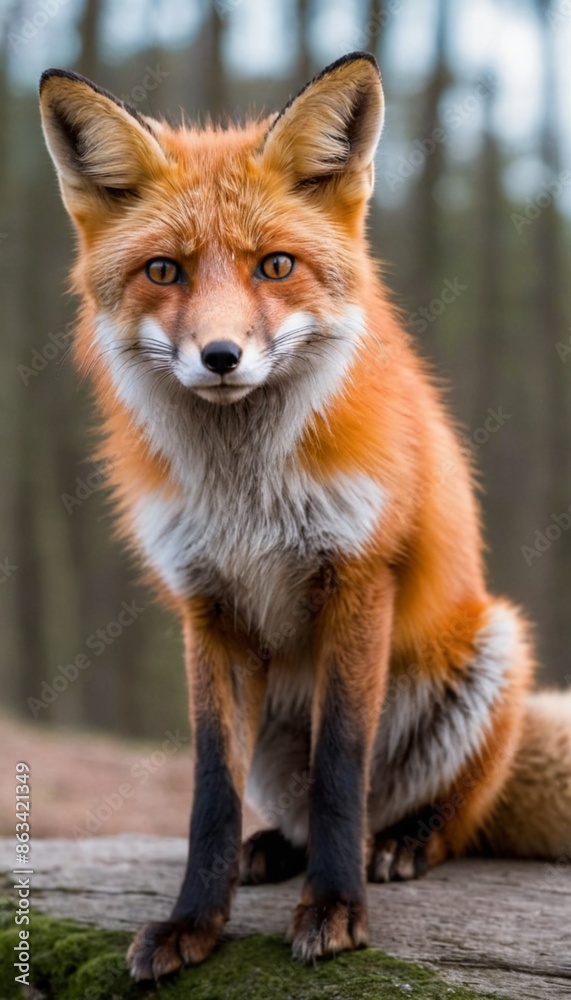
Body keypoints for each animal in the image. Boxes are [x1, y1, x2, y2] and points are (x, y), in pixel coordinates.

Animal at [39, 53, 571, 981]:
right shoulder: (206, 605)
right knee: (288, 803)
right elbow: (209, 791)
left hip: (491, 648)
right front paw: (193, 922)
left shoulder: (357, 577)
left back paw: (400, 841)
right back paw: (272, 850)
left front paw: (335, 910)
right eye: (165, 272)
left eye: (275, 266)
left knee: (442, 809)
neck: (244, 492)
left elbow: (339, 769)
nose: (220, 356)